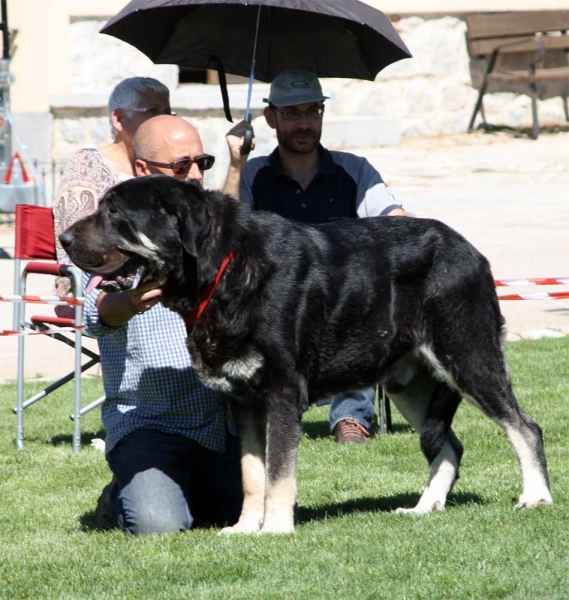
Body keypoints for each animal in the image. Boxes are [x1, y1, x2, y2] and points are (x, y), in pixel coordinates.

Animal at [61, 176, 552, 532]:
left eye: (115, 213)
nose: (63, 237)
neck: (223, 271)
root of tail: (472, 251)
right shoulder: (244, 402)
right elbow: (252, 475)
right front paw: (245, 528)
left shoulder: (281, 394)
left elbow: (279, 473)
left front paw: (276, 529)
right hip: (409, 385)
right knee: (449, 444)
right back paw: (424, 507)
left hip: (468, 359)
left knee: (525, 427)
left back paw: (535, 497)